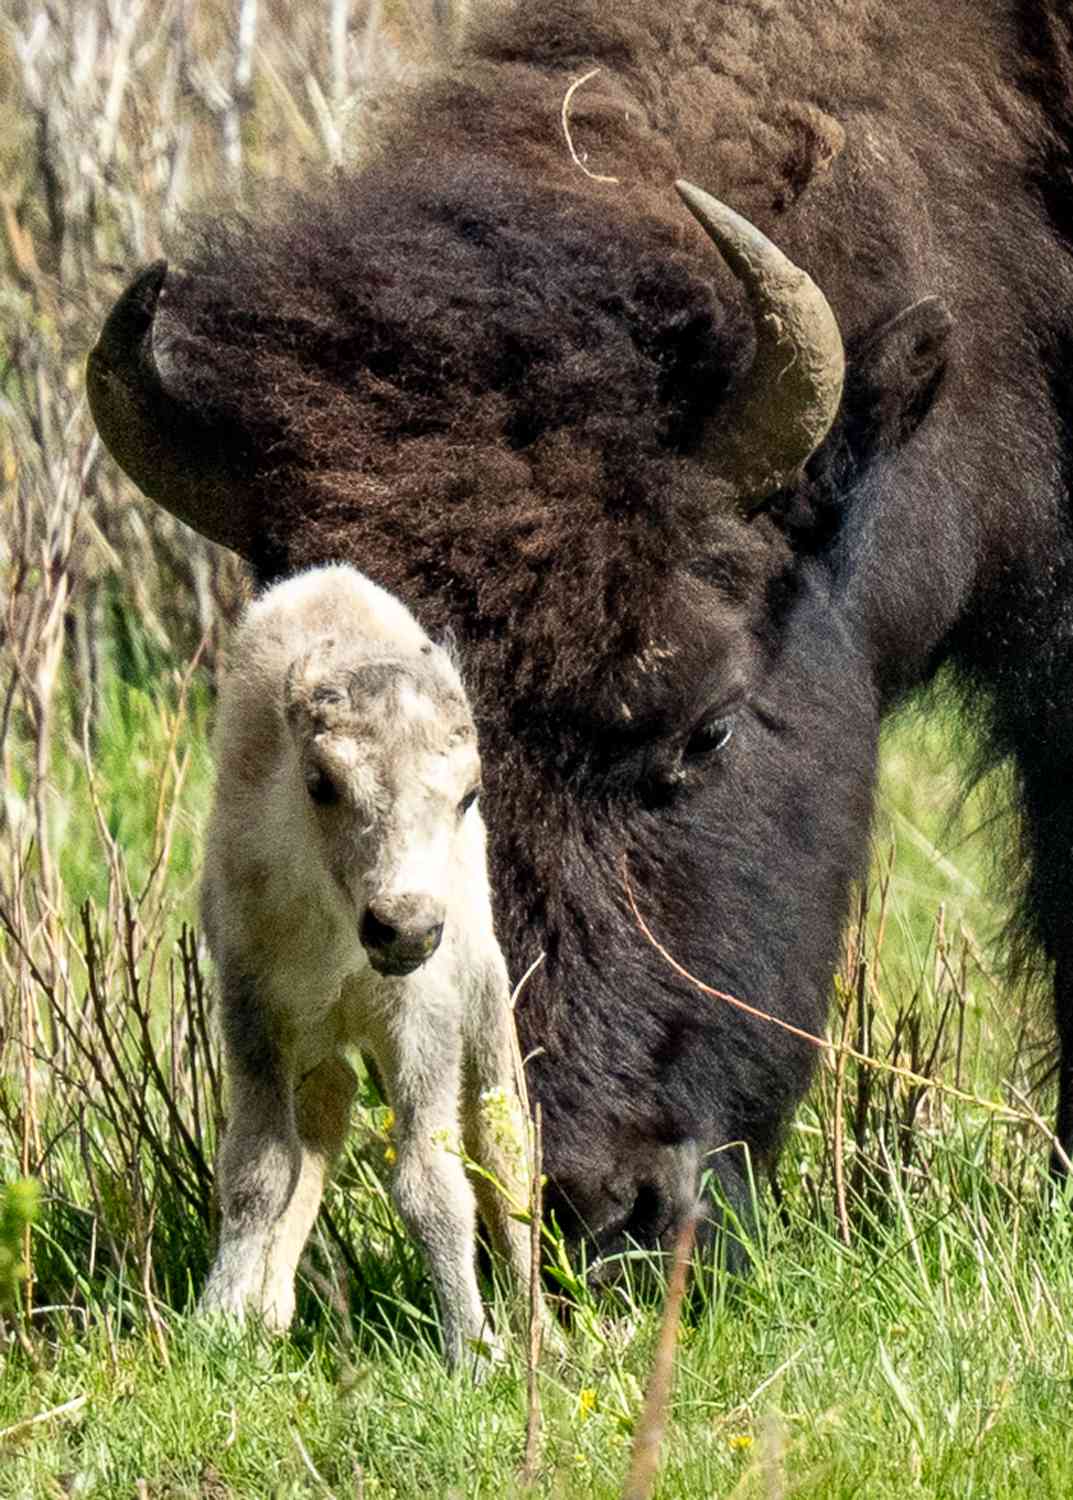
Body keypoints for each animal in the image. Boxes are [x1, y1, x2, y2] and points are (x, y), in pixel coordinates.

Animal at [199, 564, 534, 1374]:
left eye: (469, 792)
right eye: (322, 782)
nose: (404, 926)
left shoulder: (421, 1020)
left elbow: (432, 1181)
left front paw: (473, 1349)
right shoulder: (254, 1011)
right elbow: (260, 1168)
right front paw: (219, 1321)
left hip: (484, 1000)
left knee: (504, 1147)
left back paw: (547, 1324)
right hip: (318, 1041)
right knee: (326, 1111)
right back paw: (270, 1310)